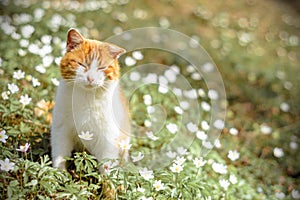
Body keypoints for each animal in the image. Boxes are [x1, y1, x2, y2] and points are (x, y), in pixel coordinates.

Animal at [51, 28, 130, 170]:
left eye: (102, 68)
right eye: (81, 64)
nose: (90, 78)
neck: (87, 97)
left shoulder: (107, 139)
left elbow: (107, 164)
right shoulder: (61, 130)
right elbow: (60, 155)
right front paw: (58, 173)